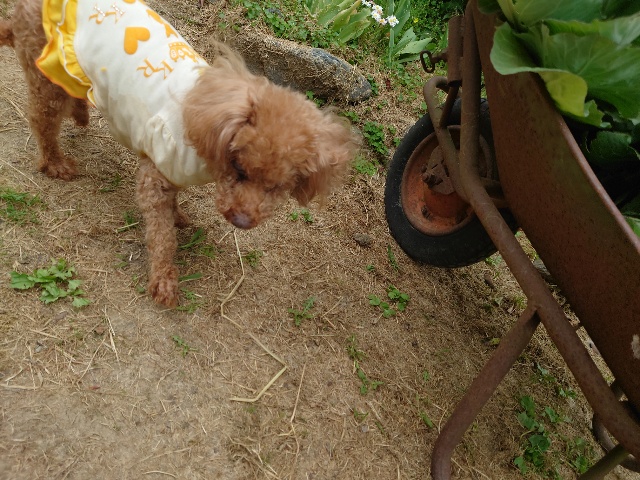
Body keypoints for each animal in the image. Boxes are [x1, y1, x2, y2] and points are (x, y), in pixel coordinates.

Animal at [0, 0, 359, 308]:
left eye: (277, 188)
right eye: (239, 169)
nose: (242, 221)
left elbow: (174, 206)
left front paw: (179, 217)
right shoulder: (156, 174)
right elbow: (162, 236)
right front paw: (164, 281)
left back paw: (80, 115)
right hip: (45, 66)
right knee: (42, 118)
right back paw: (54, 162)